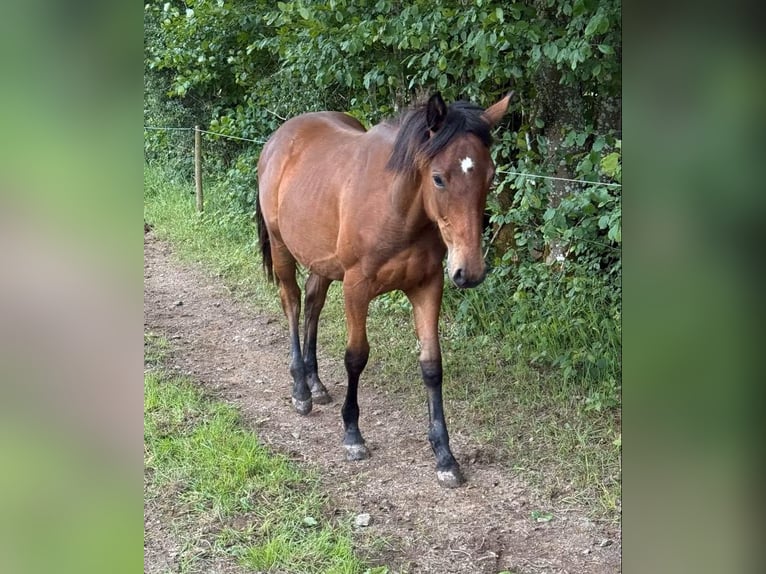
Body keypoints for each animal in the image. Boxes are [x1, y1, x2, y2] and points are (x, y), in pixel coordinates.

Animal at [256, 92, 510, 487]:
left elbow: (432, 365)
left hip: (322, 261)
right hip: (283, 249)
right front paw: (352, 435)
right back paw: (300, 388)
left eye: (490, 176)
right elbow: (356, 357)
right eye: (438, 178)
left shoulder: (427, 286)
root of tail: (279, 139)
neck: (397, 208)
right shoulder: (356, 288)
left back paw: (315, 382)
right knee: (293, 303)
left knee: (313, 302)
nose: (469, 272)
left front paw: (444, 455)